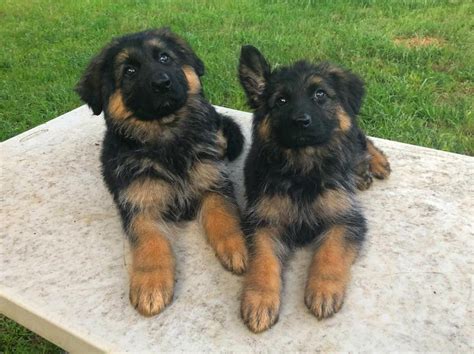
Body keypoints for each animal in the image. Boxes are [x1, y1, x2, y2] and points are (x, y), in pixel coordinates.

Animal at [75, 27, 248, 316]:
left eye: (165, 58)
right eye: (129, 71)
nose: (162, 83)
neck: (167, 138)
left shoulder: (212, 181)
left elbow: (224, 216)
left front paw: (238, 247)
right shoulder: (139, 203)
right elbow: (150, 241)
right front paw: (151, 284)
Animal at [239, 45, 390, 334]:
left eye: (320, 94)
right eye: (281, 101)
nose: (302, 121)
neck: (303, 169)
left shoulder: (345, 217)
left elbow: (330, 252)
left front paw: (323, 290)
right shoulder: (263, 222)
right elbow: (263, 261)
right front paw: (259, 300)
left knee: (360, 138)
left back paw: (375, 164)